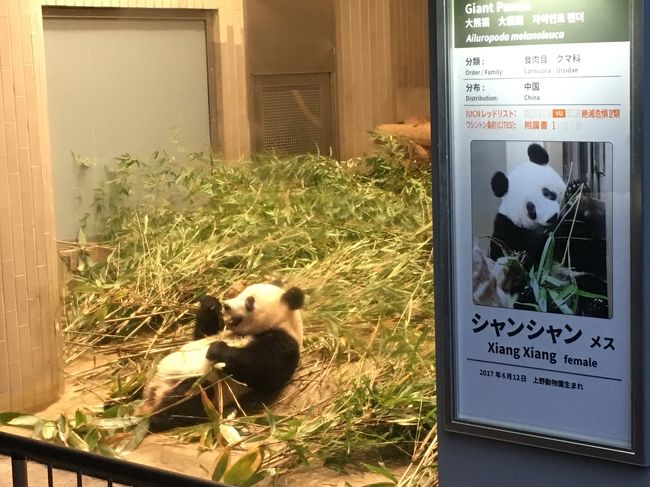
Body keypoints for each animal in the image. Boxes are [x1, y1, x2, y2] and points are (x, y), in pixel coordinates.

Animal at [138, 284, 306, 432]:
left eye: (249, 301)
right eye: (241, 293)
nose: (226, 306)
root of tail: (153, 396)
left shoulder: (284, 343)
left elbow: (263, 370)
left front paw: (217, 349)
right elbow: (203, 333)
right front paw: (211, 304)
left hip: (202, 393)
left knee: (193, 397)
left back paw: (159, 417)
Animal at [486, 143, 608, 318]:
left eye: (546, 192)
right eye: (530, 207)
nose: (552, 217)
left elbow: (587, 248)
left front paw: (577, 192)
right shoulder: (507, 230)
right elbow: (509, 259)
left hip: (581, 281)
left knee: (591, 287)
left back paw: (597, 305)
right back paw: (530, 294)